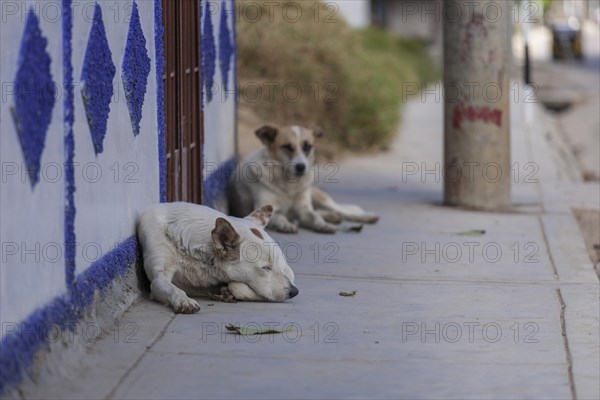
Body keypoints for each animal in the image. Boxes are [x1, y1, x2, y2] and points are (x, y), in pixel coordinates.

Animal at [135, 203, 296, 312]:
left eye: (274, 264)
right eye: (266, 268)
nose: (295, 292)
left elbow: (237, 286)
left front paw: (227, 290)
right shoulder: (158, 278)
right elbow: (172, 288)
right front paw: (183, 300)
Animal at [227, 123, 378, 233]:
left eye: (308, 147)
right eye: (287, 147)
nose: (301, 167)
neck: (289, 184)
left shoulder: (303, 209)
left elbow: (314, 216)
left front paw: (323, 225)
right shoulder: (263, 206)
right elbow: (279, 216)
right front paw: (285, 224)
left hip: (319, 197)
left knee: (341, 210)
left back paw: (366, 217)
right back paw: (332, 216)